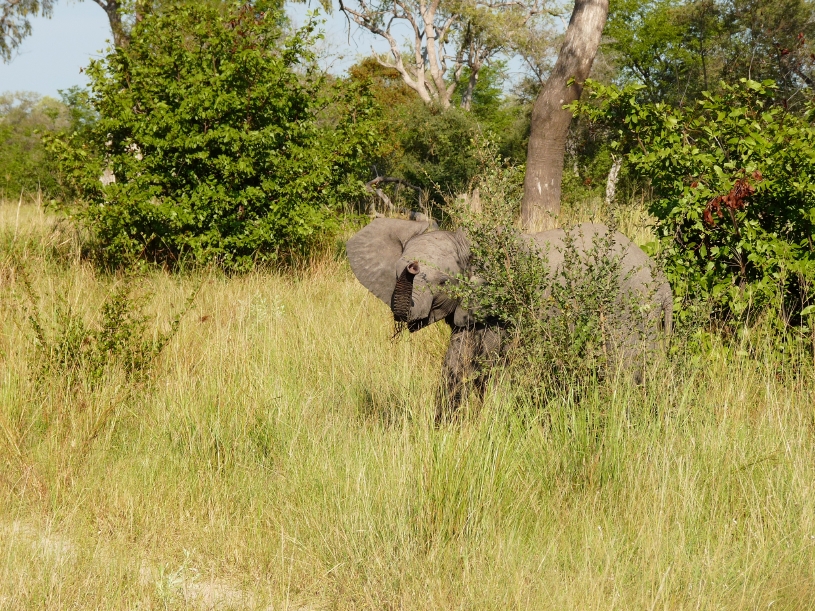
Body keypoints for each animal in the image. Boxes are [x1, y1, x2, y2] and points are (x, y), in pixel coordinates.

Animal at [346, 217, 673, 420]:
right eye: (398, 271)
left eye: (443, 282)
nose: (412, 267)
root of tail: (665, 286)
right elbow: (458, 362)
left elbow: (493, 363)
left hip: (631, 310)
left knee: (626, 369)